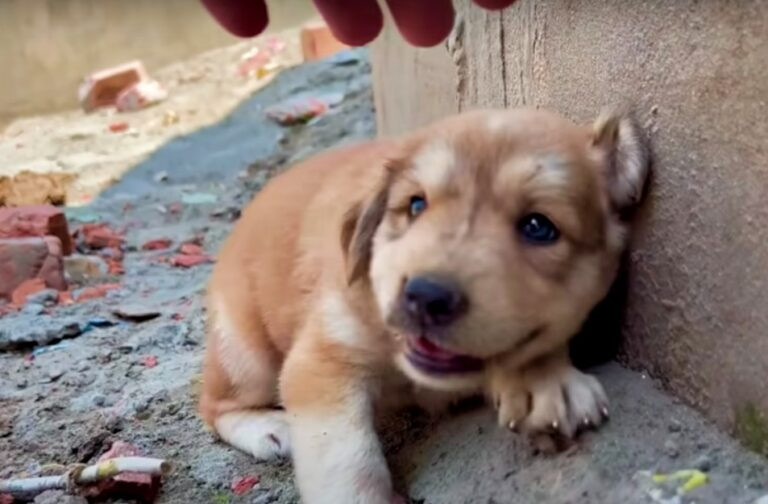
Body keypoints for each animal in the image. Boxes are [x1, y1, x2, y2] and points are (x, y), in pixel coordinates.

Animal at [199, 107, 649, 503]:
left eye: (538, 227)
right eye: (416, 205)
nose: (425, 297)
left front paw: (544, 380)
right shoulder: (324, 359)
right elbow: (347, 464)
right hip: (246, 353)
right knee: (214, 405)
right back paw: (269, 428)